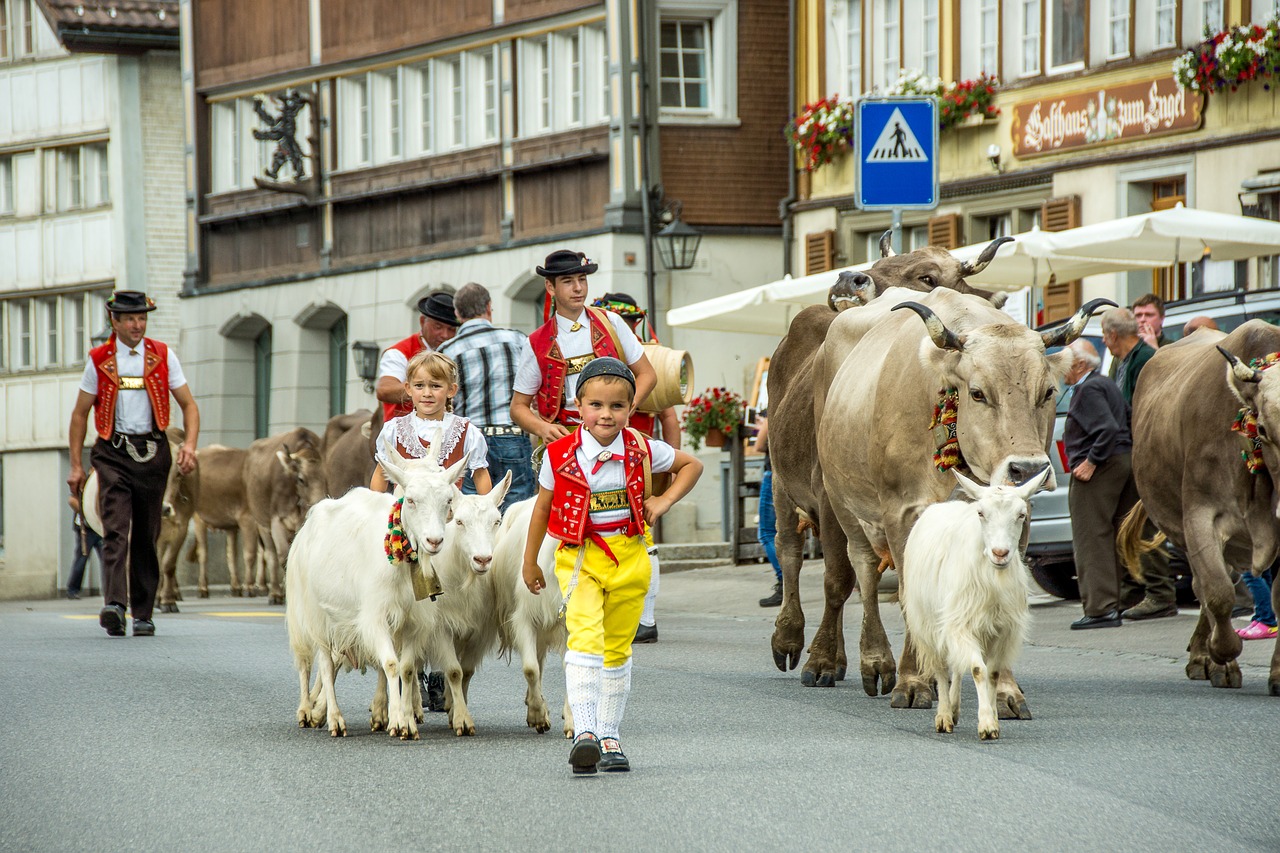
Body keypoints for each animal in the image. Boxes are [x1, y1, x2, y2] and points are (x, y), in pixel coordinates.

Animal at [243, 427, 325, 601]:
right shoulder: (276, 521)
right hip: (261, 524)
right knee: (270, 554)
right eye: (301, 479)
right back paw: (269, 590)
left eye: (325, 476)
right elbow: (282, 555)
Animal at [286, 450, 471, 737]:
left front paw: (404, 720)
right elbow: (391, 665)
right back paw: (327, 717)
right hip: (315, 613)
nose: (434, 541)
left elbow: (406, 668)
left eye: (447, 500)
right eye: (412, 501)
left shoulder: (413, 622)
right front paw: (398, 721)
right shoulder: (374, 617)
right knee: (320, 665)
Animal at [901, 466, 1049, 737]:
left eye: (1021, 515)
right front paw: (987, 724)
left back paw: (954, 709)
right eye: (981, 513)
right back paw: (944, 716)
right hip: (929, 623)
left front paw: (993, 718)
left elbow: (992, 673)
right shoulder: (961, 624)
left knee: (957, 664)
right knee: (941, 667)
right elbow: (978, 670)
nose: (1000, 553)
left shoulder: (1000, 630)